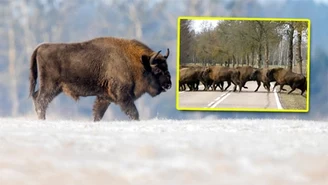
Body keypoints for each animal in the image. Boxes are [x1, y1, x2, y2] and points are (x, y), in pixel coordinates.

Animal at [28, 37, 172, 121]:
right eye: (157, 70)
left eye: (166, 66)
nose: (169, 84)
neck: (138, 63)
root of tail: (41, 47)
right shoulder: (123, 97)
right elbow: (134, 113)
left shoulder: (104, 97)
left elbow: (98, 113)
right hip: (50, 86)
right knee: (41, 101)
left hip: (54, 88)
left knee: (36, 97)